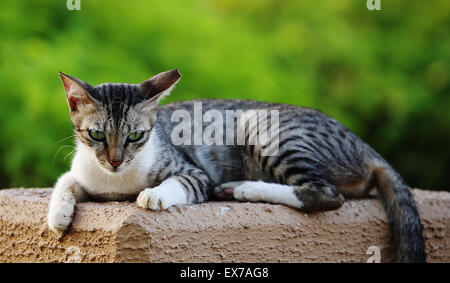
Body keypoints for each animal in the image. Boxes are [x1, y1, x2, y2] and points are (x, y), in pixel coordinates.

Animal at [48, 69, 426, 264]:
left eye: (136, 136)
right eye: (97, 134)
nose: (115, 160)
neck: (115, 180)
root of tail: (364, 145)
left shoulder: (195, 172)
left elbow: (182, 182)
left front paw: (155, 194)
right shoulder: (83, 170)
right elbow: (65, 180)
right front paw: (58, 214)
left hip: (264, 128)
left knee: (325, 194)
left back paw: (243, 188)